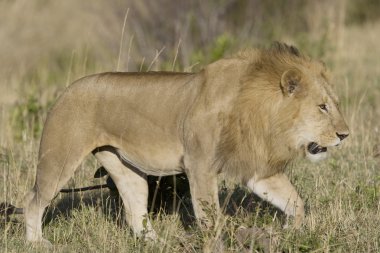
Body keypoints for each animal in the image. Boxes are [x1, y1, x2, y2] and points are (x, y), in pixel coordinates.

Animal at [24, 42, 350, 246]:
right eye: (322, 107)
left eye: (335, 104)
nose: (345, 135)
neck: (260, 113)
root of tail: (67, 89)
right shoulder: (199, 165)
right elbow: (210, 215)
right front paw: (218, 242)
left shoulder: (257, 170)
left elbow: (295, 201)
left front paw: (291, 231)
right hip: (60, 158)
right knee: (33, 201)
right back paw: (36, 242)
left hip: (124, 167)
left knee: (135, 212)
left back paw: (157, 243)